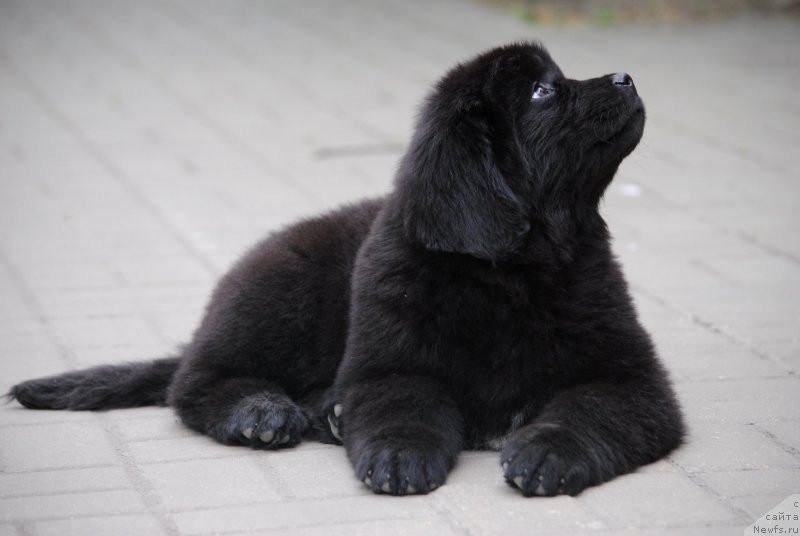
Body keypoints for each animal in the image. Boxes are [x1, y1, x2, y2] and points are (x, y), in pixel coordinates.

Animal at [9, 43, 684, 498]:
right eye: (544, 92)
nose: (626, 76)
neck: (508, 275)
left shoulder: (632, 379)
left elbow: (585, 409)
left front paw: (547, 452)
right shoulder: (389, 364)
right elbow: (403, 403)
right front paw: (400, 455)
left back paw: (324, 415)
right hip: (282, 292)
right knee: (191, 382)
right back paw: (260, 412)